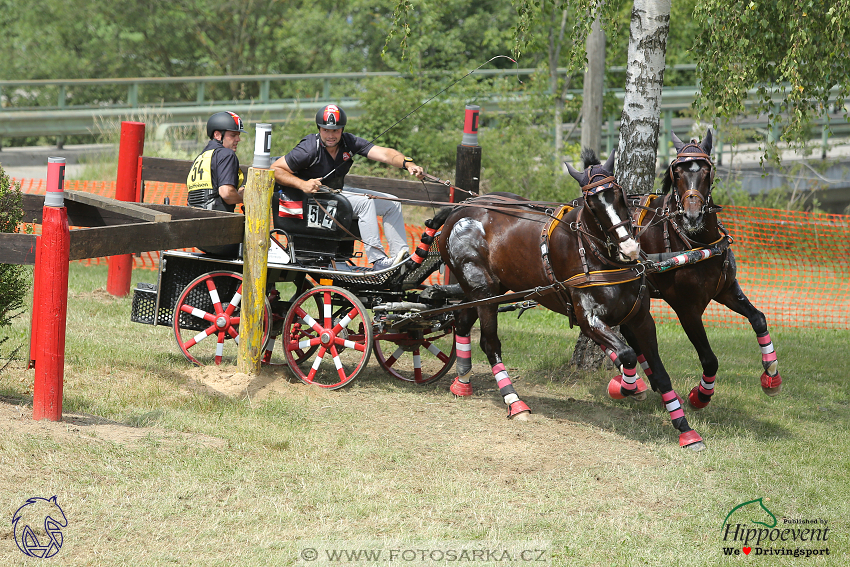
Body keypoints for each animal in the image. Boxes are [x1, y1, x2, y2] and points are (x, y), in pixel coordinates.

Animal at [430, 149, 704, 450]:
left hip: (485, 290)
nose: (629, 247)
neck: (600, 257)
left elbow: (660, 372)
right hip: (483, 291)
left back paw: (462, 380)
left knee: (462, 319)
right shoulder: (589, 318)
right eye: (592, 204)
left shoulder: (641, 319)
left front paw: (686, 430)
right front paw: (623, 387)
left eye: (619, 193)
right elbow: (628, 355)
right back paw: (514, 401)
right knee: (489, 343)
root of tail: (459, 209)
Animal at [632, 131, 780, 410]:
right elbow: (710, 359)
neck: (697, 244)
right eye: (677, 172)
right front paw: (700, 395)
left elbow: (759, 318)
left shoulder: (726, 290)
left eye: (706, 171)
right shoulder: (687, 310)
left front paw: (771, 374)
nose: (692, 216)